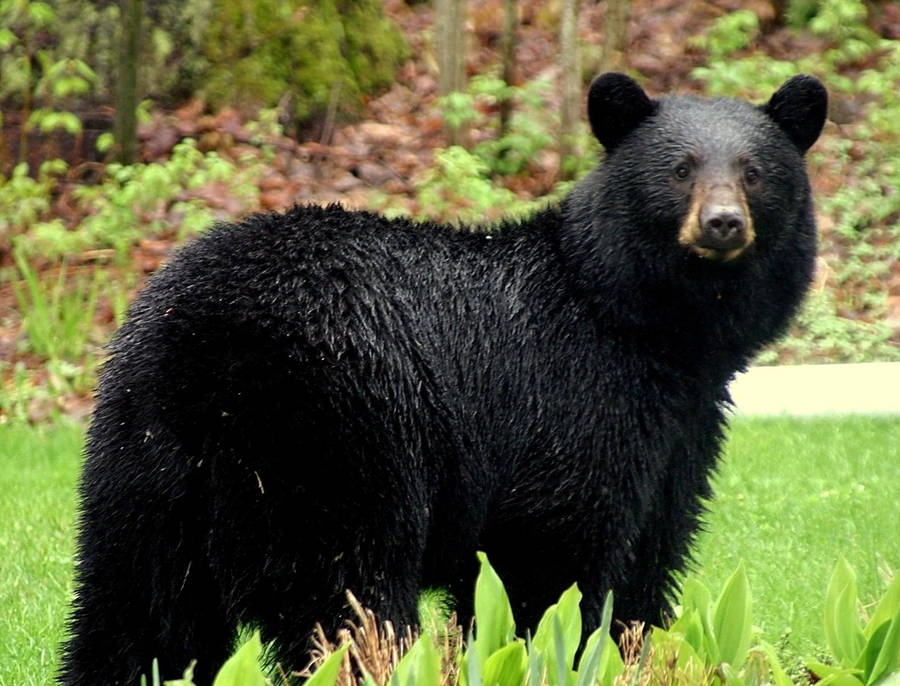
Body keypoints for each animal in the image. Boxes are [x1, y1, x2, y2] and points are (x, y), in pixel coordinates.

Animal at [59, 73, 827, 685]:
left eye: (755, 170)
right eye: (679, 169)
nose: (723, 223)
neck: (650, 328)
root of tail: (204, 350)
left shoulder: (677, 433)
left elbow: (648, 560)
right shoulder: (571, 399)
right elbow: (547, 561)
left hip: (143, 460)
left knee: (136, 608)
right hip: (336, 441)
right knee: (345, 600)